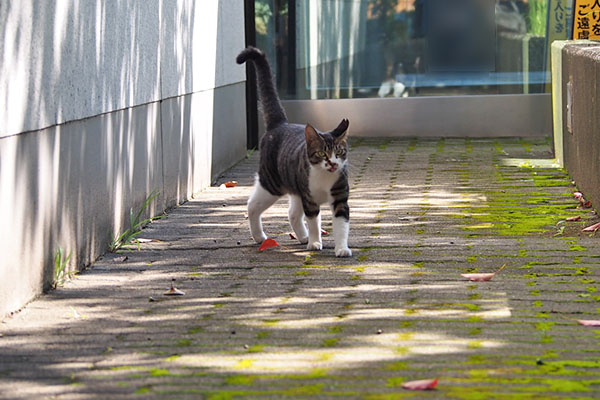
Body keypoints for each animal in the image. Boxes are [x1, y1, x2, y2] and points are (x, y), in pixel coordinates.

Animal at [237, 46, 354, 256]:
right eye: (322, 154)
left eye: (340, 152)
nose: (333, 163)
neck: (324, 178)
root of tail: (280, 124)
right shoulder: (310, 199)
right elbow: (314, 222)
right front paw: (315, 243)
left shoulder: (340, 197)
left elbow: (341, 225)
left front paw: (341, 248)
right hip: (272, 183)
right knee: (252, 205)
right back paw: (259, 236)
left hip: (296, 188)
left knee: (292, 213)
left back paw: (302, 237)